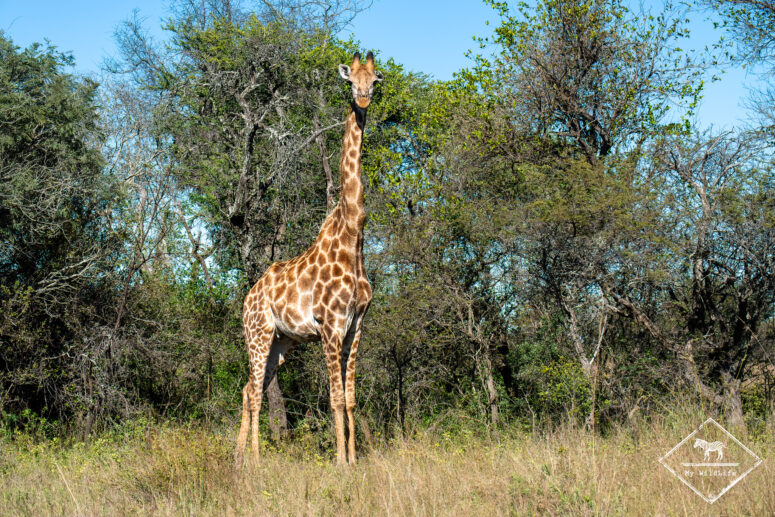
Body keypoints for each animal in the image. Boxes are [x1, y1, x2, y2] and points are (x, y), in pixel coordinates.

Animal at [235, 51, 383, 467]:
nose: (362, 99)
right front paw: (341, 462)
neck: (353, 234)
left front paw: (354, 459)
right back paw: (255, 460)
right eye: (350, 81)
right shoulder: (330, 326)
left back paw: (239, 456)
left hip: (281, 343)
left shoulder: (357, 326)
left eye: (375, 80)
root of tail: (246, 299)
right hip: (258, 334)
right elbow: (335, 399)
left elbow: (351, 399)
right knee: (254, 392)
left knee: (248, 388)